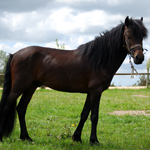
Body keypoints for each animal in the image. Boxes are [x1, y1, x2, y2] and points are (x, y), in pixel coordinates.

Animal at [0, 16, 148, 144]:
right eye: (128, 35)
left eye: (142, 36)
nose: (139, 58)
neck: (99, 59)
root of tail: (15, 54)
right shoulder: (96, 91)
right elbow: (94, 116)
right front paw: (94, 141)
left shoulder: (90, 92)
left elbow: (84, 114)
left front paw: (77, 137)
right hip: (18, 87)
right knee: (7, 106)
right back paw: (3, 138)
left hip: (31, 87)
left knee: (21, 108)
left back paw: (26, 137)